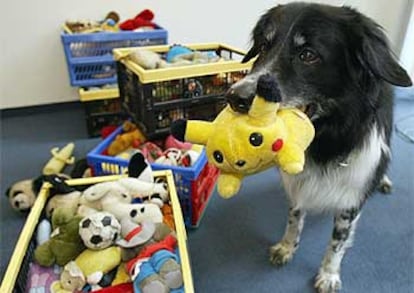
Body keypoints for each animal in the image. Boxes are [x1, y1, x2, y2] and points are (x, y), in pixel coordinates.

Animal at [225, 2, 412, 292]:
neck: (326, 137)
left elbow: (337, 242)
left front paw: (328, 274)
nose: (235, 98)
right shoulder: (297, 182)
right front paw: (287, 247)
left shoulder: (351, 196)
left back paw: (383, 180)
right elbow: (295, 216)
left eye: (308, 55)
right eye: (264, 46)